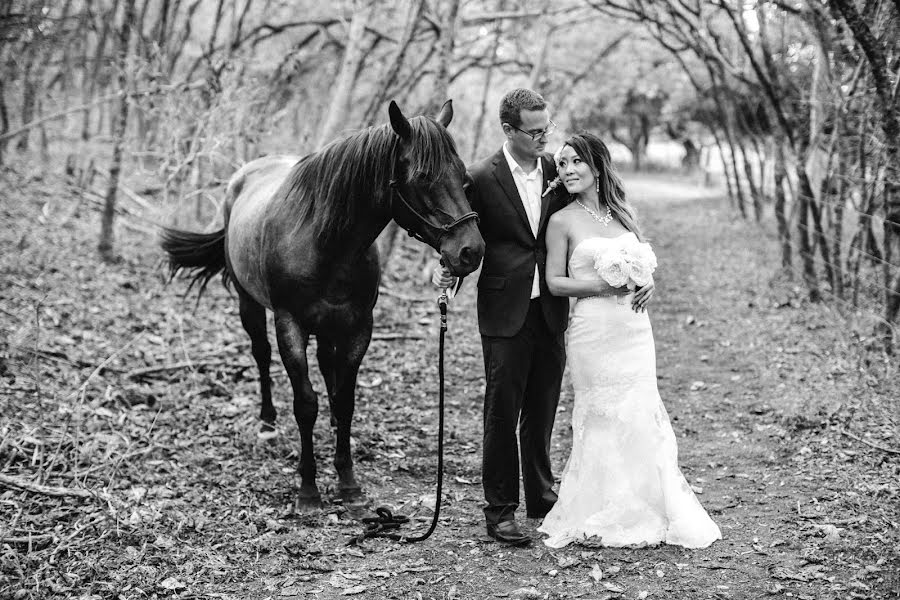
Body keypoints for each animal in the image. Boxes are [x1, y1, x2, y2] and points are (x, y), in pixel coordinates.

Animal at [162, 102, 486, 506]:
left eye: (464, 178)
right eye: (424, 177)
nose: (471, 251)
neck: (324, 241)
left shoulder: (359, 326)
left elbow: (345, 400)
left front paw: (348, 481)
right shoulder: (290, 325)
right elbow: (305, 403)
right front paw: (308, 488)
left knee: (325, 364)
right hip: (248, 302)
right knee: (261, 354)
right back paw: (267, 423)